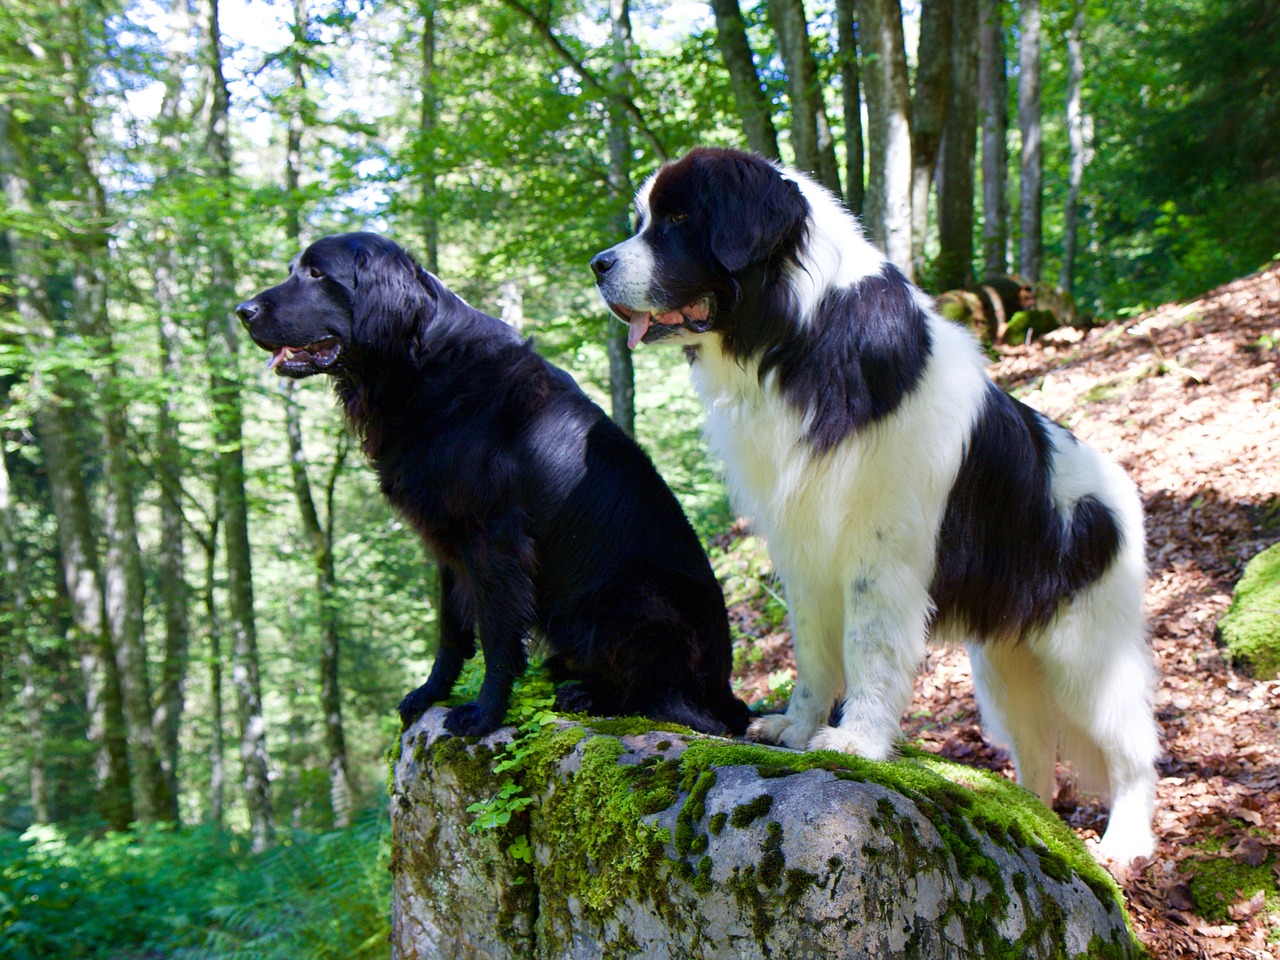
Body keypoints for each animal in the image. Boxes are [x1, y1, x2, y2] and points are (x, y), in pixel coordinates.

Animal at [239, 235, 747, 742]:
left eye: (317, 274)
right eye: (292, 270)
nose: (243, 310)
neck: (423, 364)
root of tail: (724, 685)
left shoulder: (493, 539)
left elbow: (497, 636)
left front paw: (484, 715)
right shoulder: (446, 540)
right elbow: (450, 631)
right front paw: (430, 693)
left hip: (635, 596)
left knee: (670, 704)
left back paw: (590, 695)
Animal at [588, 146, 1162, 860]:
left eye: (676, 220)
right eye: (645, 220)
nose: (598, 265)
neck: (799, 338)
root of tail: (1120, 494)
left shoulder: (882, 549)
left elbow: (870, 645)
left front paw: (855, 740)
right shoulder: (803, 543)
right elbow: (812, 646)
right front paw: (795, 726)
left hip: (1085, 648)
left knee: (1131, 742)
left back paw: (1125, 839)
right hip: (1006, 661)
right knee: (1035, 743)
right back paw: (1032, 814)